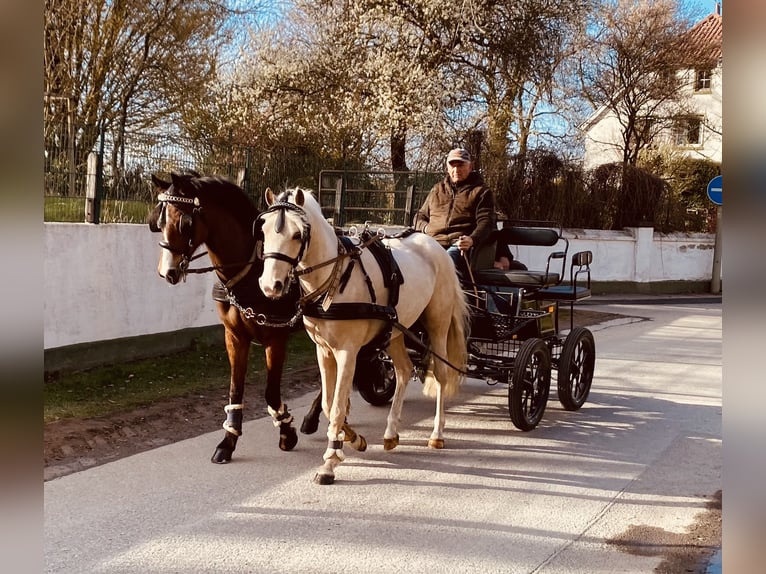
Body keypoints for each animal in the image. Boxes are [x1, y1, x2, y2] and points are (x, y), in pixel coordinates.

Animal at [147, 172, 330, 464]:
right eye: (158, 222)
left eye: (185, 223)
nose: (167, 271)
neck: (250, 270)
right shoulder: (234, 336)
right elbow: (235, 388)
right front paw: (228, 441)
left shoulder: (275, 338)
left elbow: (271, 392)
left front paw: (286, 432)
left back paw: (313, 417)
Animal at [257, 187, 470, 484]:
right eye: (264, 230)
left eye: (297, 234)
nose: (270, 286)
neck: (334, 278)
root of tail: (435, 245)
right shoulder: (323, 350)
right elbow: (328, 402)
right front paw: (352, 438)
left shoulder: (348, 351)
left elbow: (336, 405)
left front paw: (330, 461)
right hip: (396, 331)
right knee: (403, 370)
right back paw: (391, 433)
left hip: (437, 324)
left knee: (440, 373)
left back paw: (437, 434)